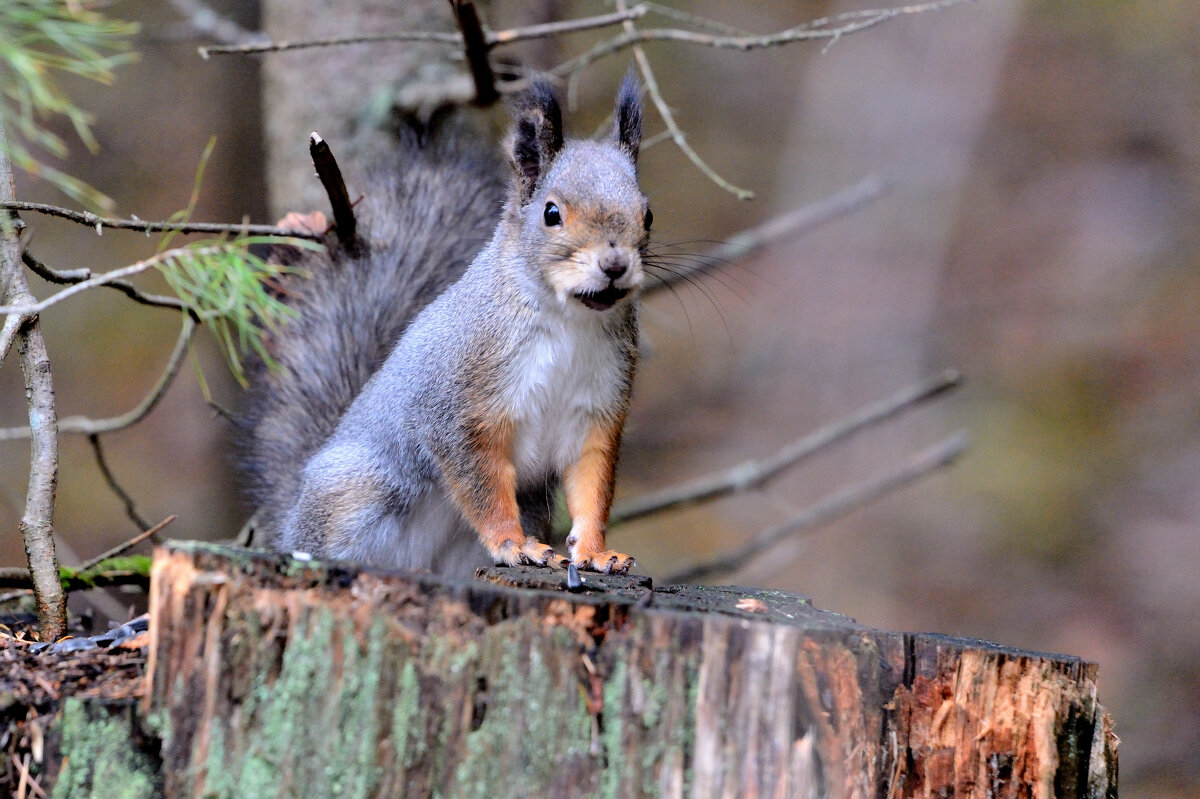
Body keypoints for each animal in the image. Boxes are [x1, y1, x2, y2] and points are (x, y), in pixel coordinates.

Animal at [238, 77, 652, 575]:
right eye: (551, 213)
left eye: (647, 215)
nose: (614, 265)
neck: (570, 321)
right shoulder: (456, 405)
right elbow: (480, 484)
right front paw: (513, 544)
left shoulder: (597, 412)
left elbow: (592, 487)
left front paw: (595, 553)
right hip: (359, 492)